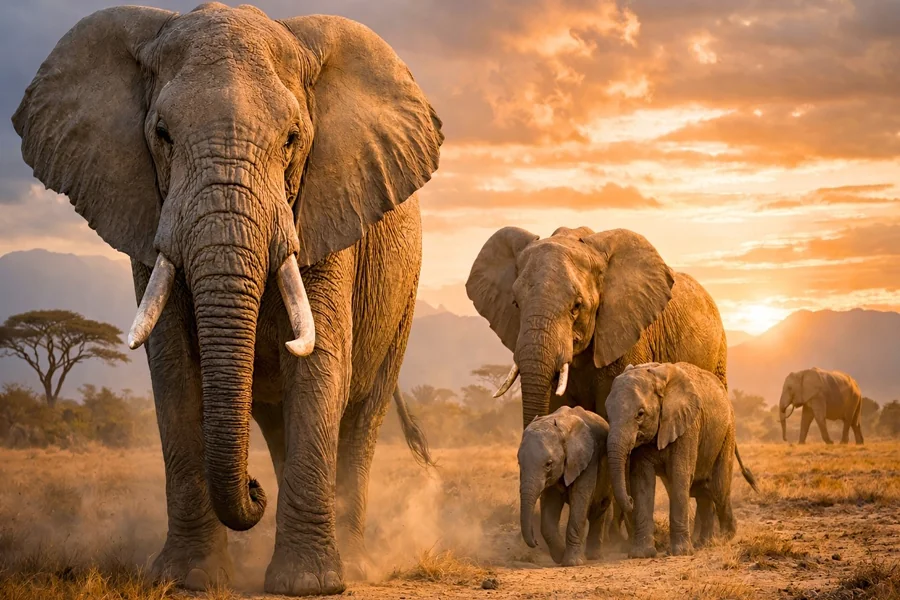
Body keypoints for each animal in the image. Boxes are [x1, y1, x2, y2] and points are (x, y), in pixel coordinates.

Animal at [13, 4, 442, 596]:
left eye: (292, 139)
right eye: (163, 134)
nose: (252, 488)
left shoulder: (326, 209)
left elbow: (320, 363)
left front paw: (308, 585)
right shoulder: (149, 215)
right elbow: (172, 369)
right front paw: (188, 578)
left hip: (403, 296)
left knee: (361, 417)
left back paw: (353, 564)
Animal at [518, 406, 614, 566]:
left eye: (548, 464)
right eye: (519, 462)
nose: (535, 542)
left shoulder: (588, 458)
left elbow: (580, 498)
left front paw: (572, 562)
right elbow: (550, 505)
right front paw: (560, 556)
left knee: (599, 508)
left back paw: (594, 556)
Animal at [605, 362, 758, 558]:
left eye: (640, 414)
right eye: (607, 414)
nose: (630, 501)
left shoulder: (688, 427)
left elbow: (680, 475)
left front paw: (680, 552)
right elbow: (642, 481)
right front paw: (642, 554)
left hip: (727, 433)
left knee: (718, 487)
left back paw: (723, 538)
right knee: (703, 490)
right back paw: (704, 543)